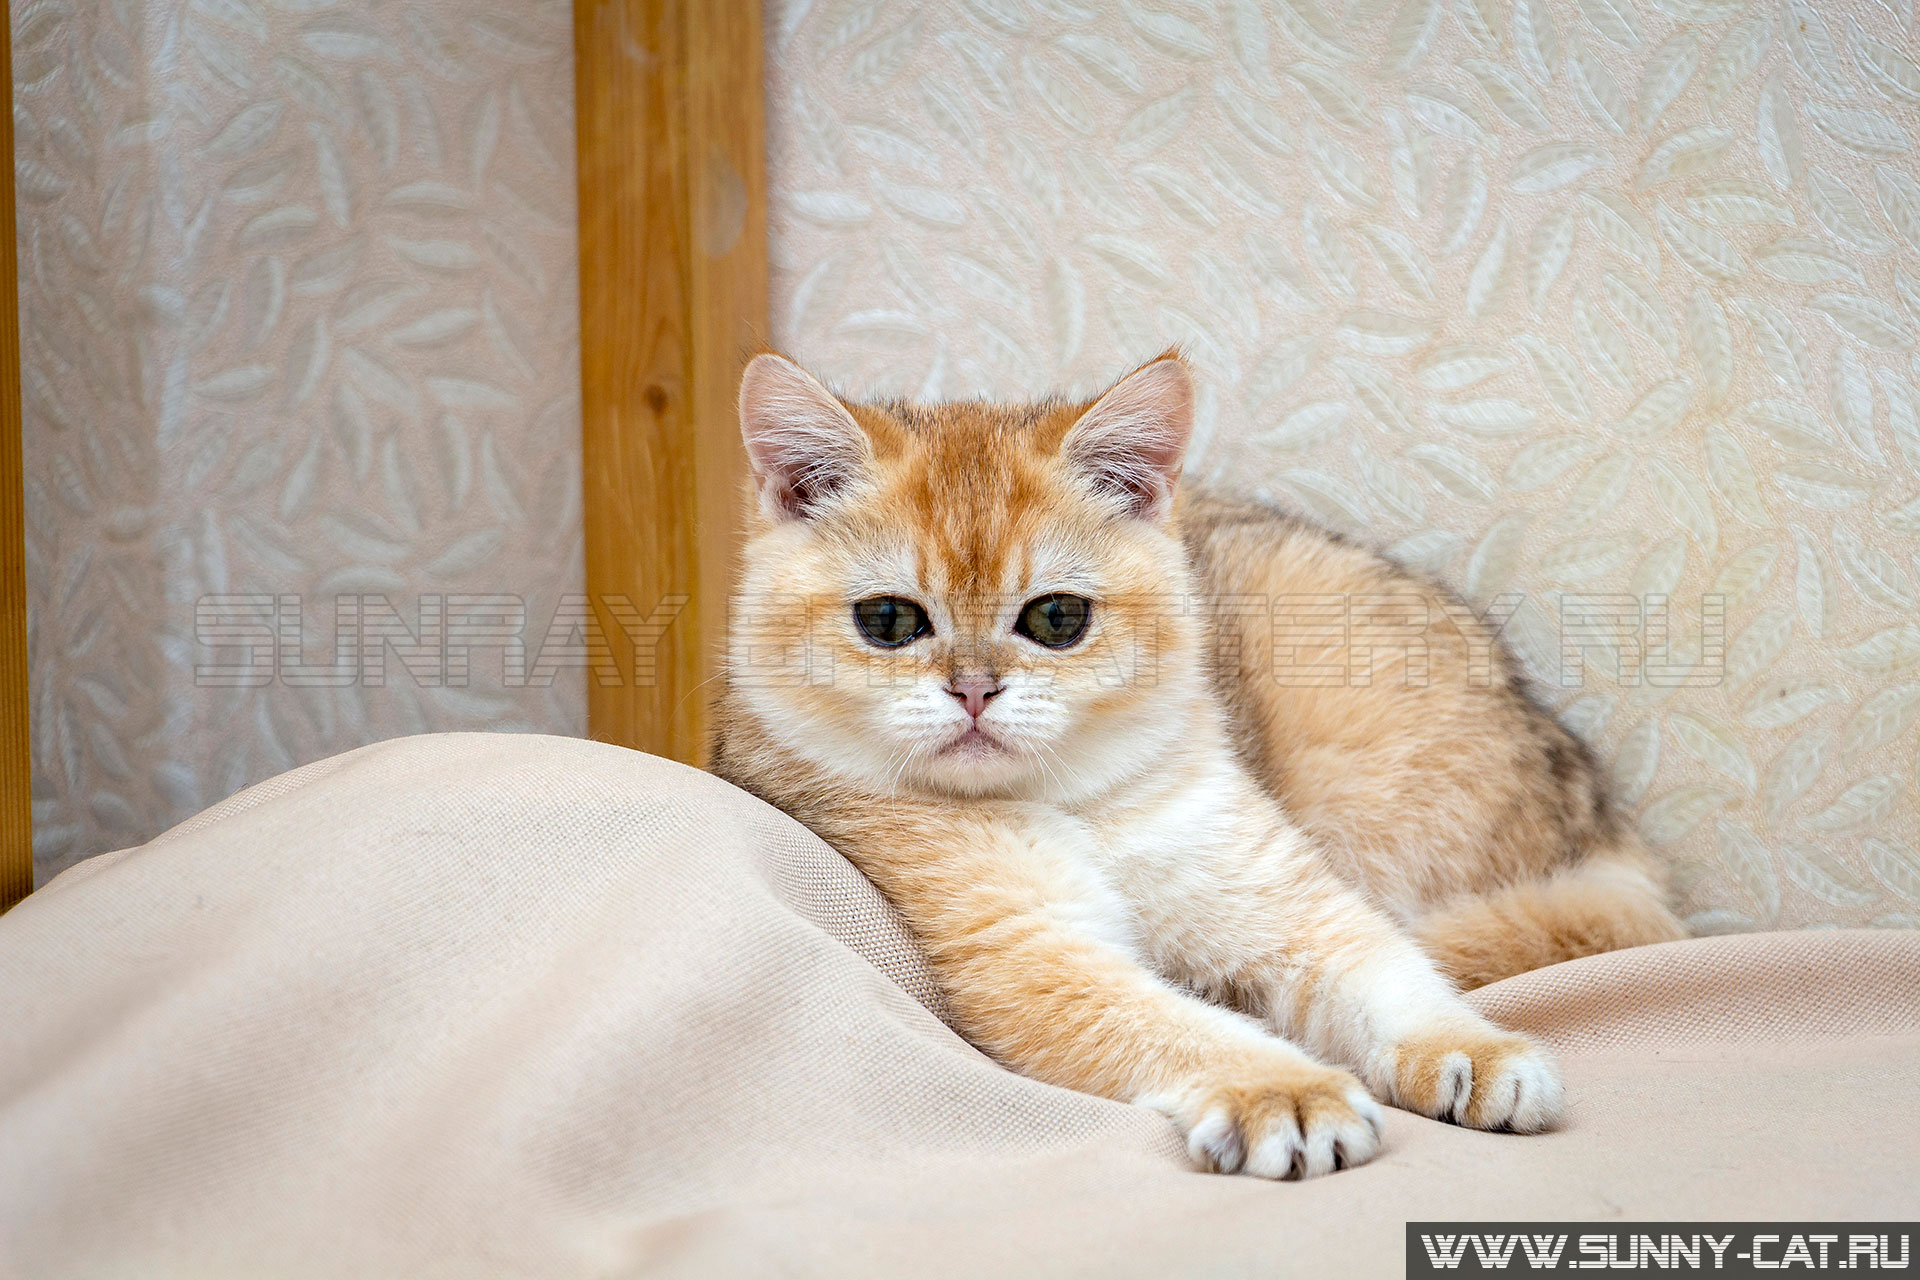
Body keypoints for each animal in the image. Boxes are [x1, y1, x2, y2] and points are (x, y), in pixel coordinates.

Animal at [710, 351, 1681, 1182]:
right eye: (889, 621)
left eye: (1057, 618)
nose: (976, 691)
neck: (1077, 802)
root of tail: (1607, 827)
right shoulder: (1031, 948)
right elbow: (1181, 1027)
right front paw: (1286, 1091)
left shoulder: (1287, 899)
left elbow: (1389, 973)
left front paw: (1472, 1046)